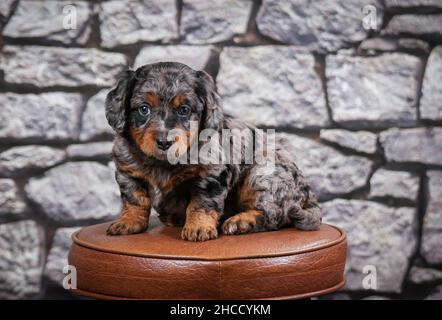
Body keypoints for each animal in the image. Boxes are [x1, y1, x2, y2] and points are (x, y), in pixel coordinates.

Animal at [105, 62, 322, 241]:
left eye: (184, 109)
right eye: (144, 109)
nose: (165, 142)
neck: (163, 163)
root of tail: (308, 195)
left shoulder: (212, 174)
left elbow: (202, 203)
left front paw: (198, 228)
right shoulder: (127, 171)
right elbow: (135, 199)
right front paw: (129, 222)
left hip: (262, 176)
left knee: (274, 214)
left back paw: (240, 222)